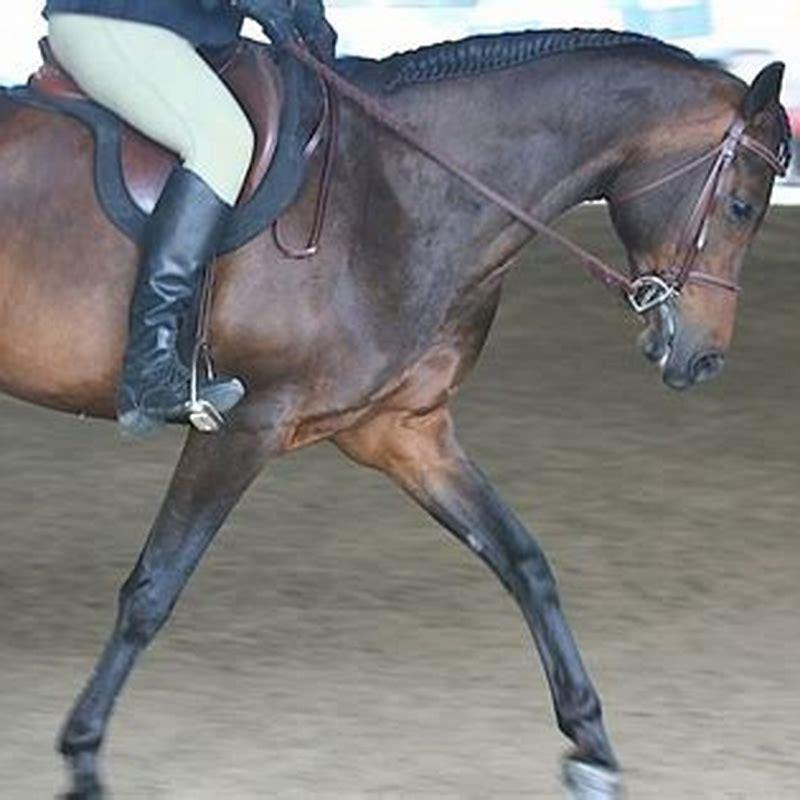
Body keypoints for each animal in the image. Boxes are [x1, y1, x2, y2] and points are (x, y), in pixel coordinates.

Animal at [0, 27, 790, 800]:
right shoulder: (246, 425)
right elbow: (153, 588)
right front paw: (82, 754)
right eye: (741, 207)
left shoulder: (403, 431)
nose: (703, 359)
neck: (394, 192)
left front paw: (592, 745)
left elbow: (523, 560)